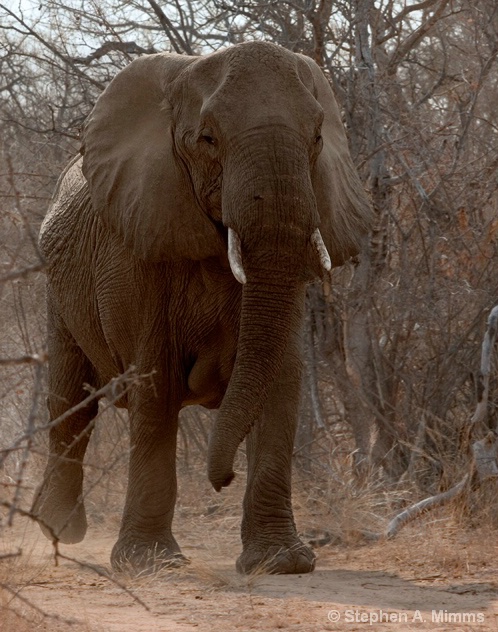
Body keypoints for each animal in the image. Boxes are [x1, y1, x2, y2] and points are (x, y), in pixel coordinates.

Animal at [32, 38, 374, 572]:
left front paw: (281, 562)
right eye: (208, 139)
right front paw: (150, 564)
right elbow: (155, 383)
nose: (223, 480)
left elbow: (281, 377)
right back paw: (59, 532)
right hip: (58, 289)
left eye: (318, 137)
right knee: (71, 402)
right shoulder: (139, 244)